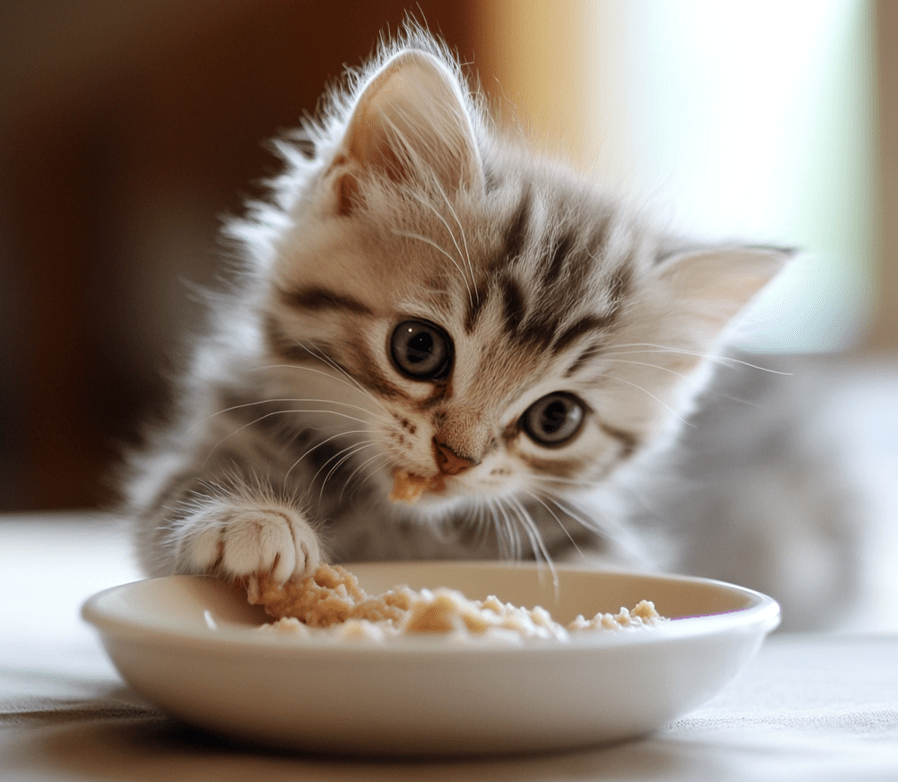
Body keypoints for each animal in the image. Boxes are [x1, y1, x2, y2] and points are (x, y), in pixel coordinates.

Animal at [126, 27, 820, 620]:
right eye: (418, 348)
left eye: (556, 419)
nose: (455, 460)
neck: (402, 521)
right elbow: (171, 500)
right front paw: (249, 521)